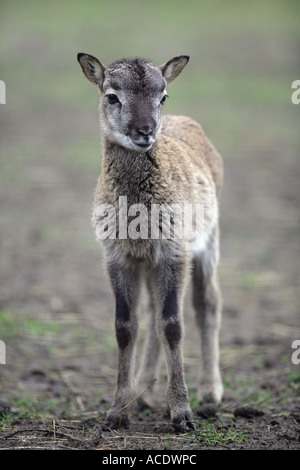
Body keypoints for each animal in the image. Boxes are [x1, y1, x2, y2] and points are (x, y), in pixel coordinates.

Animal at [77, 53, 223, 432]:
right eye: (112, 96)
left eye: (163, 96)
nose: (145, 131)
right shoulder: (117, 255)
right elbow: (125, 327)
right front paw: (118, 411)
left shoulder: (175, 249)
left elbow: (173, 325)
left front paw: (183, 414)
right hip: (148, 263)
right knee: (153, 310)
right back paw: (145, 392)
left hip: (209, 240)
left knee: (207, 303)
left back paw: (211, 392)